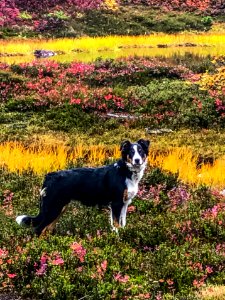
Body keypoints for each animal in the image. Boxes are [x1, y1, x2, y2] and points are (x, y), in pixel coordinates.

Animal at [15, 139, 149, 236]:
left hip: (59, 208)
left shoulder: (125, 203)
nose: (137, 160)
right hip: (53, 207)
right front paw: (117, 240)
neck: (126, 171)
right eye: (131, 152)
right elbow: (116, 225)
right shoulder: (116, 203)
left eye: (141, 151)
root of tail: (49, 176)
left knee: (47, 228)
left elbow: (122, 224)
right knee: (38, 229)